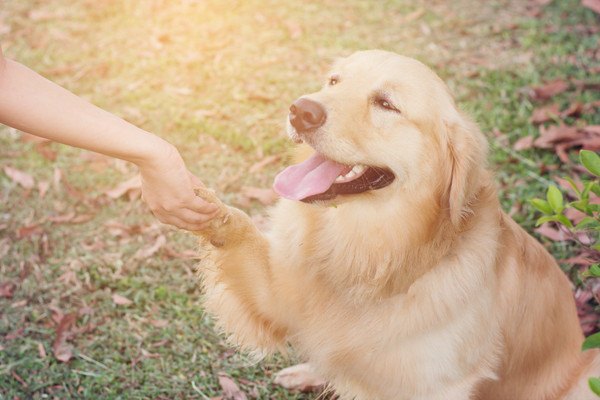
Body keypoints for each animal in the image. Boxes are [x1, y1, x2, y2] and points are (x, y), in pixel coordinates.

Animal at [195, 50, 596, 400]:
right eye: (334, 81)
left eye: (386, 104)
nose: (300, 110)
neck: (374, 247)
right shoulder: (279, 294)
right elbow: (241, 235)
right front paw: (204, 206)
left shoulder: (438, 386)